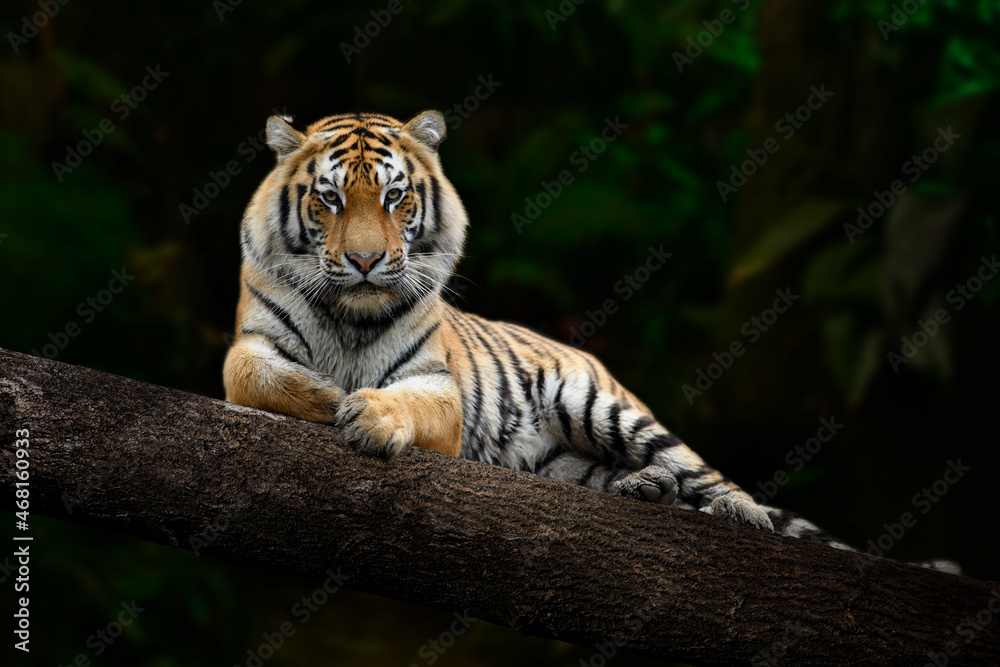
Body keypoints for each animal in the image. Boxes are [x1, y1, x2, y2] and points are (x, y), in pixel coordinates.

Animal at [223, 112, 956, 572]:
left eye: (396, 198)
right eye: (331, 200)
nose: (367, 261)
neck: (352, 313)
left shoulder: (435, 384)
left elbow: (406, 402)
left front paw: (368, 413)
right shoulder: (248, 347)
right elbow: (261, 378)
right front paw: (328, 394)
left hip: (602, 406)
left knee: (713, 477)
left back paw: (731, 511)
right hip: (562, 462)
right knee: (636, 479)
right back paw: (645, 491)